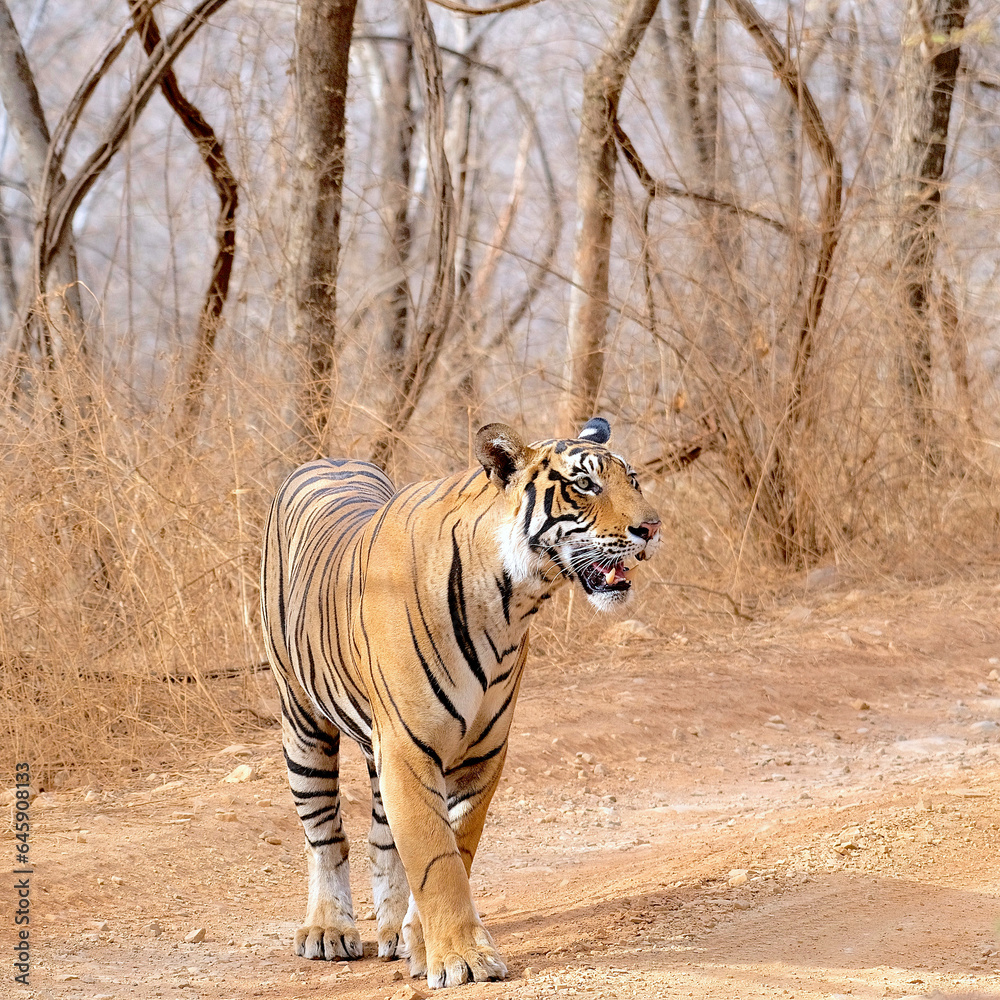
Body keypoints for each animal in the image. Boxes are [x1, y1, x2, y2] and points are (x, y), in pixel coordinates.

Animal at [259, 417, 660, 989]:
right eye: (584, 485)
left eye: (634, 480)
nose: (651, 528)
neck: (510, 603)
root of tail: (328, 458)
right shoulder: (408, 746)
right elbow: (436, 857)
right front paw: (464, 960)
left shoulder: (481, 753)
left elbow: (455, 847)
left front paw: (424, 943)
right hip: (303, 723)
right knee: (325, 834)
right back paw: (329, 930)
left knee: (381, 837)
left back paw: (389, 933)